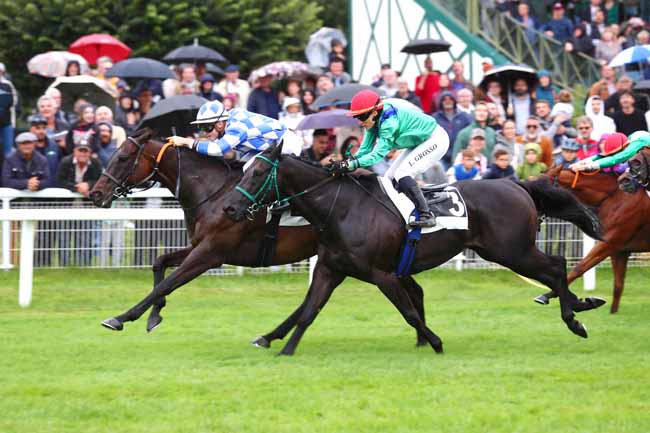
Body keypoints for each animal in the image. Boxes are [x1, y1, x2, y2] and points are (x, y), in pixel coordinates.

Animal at [87, 129, 430, 348]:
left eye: (123, 157)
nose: (96, 193)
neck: (215, 192)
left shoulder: (211, 253)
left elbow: (169, 281)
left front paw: (122, 317)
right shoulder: (201, 246)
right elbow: (159, 263)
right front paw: (154, 315)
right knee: (409, 287)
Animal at [221, 142, 604, 354]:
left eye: (257, 174)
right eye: (244, 170)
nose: (230, 208)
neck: (342, 207)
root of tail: (518, 184)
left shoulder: (382, 273)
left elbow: (408, 312)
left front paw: (434, 341)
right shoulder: (332, 269)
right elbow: (308, 311)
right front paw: (284, 349)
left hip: (511, 251)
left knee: (555, 266)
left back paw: (575, 319)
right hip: (509, 250)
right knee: (555, 269)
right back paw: (581, 305)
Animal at [536, 164, 648, 312]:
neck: (615, 198)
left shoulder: (609, 243)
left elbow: (579, 268)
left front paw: (546, 295)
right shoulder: (619, 251)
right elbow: (618, 285)